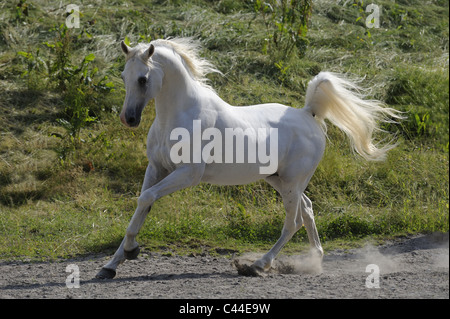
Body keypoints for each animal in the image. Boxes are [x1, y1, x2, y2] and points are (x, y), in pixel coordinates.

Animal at [96, 38, 400, 280]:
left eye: (143, 79)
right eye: (123, 75)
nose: (128, 119)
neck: (178, 116)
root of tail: (308, 114)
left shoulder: (188, 173)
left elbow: (146, 199)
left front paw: (132, 251)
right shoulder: (156, 168)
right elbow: (142, 207)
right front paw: (112, 264)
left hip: (291, 183)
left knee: (293, 222)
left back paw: (258, 265)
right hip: (280, 180)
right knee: (308, 209)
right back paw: (315, 260)